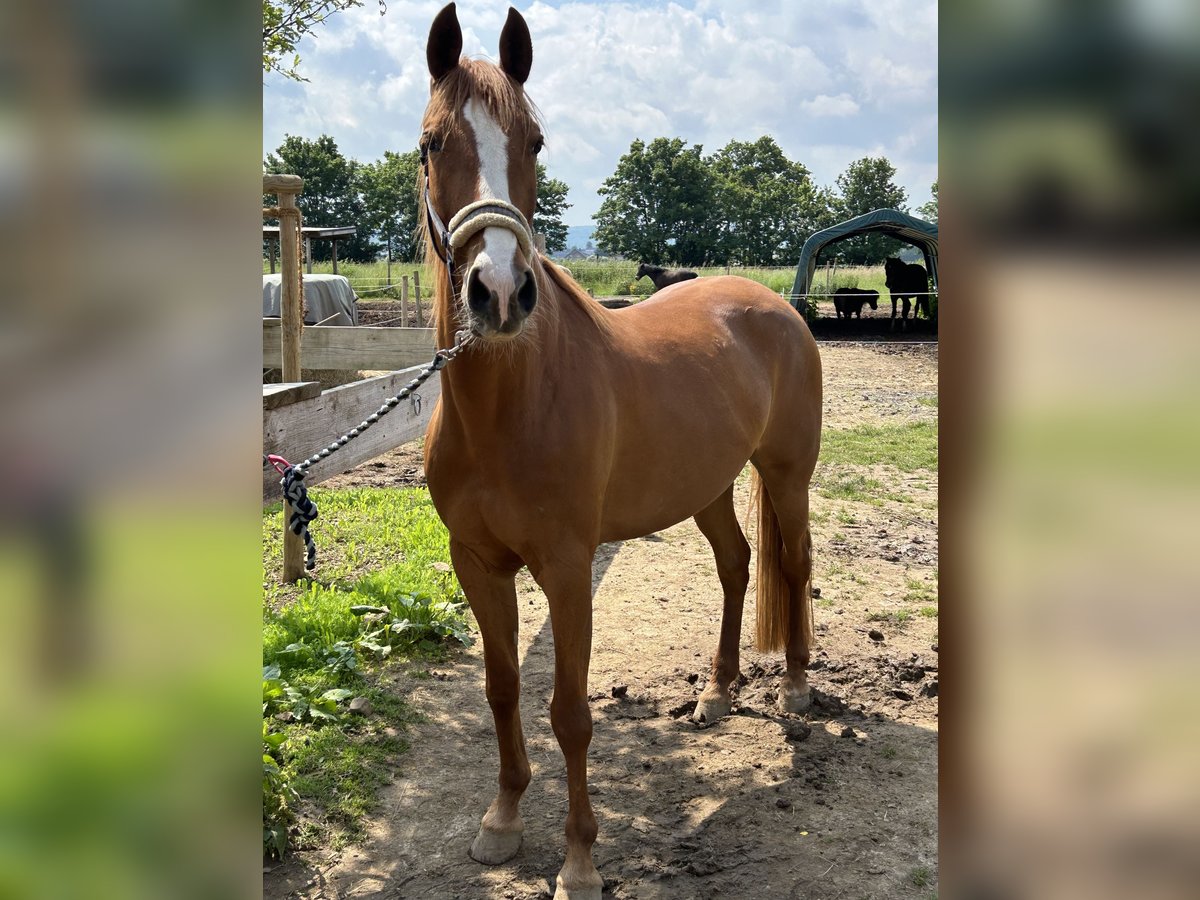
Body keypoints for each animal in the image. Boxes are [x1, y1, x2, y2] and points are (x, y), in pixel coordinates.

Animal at [417, 8, 820, 900]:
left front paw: (579, 861)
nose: (500, 293)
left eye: (535, 141)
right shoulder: (477, 563)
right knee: (737, 565)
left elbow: (570, 712)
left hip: (786, 475)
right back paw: (716, 693)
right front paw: (502, 822)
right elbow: (502, 689)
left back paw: (797, 689)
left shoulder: (569, 567)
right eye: (431, 143)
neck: (509, 405)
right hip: (706, 486)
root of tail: (773, 303)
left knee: (794, 565)